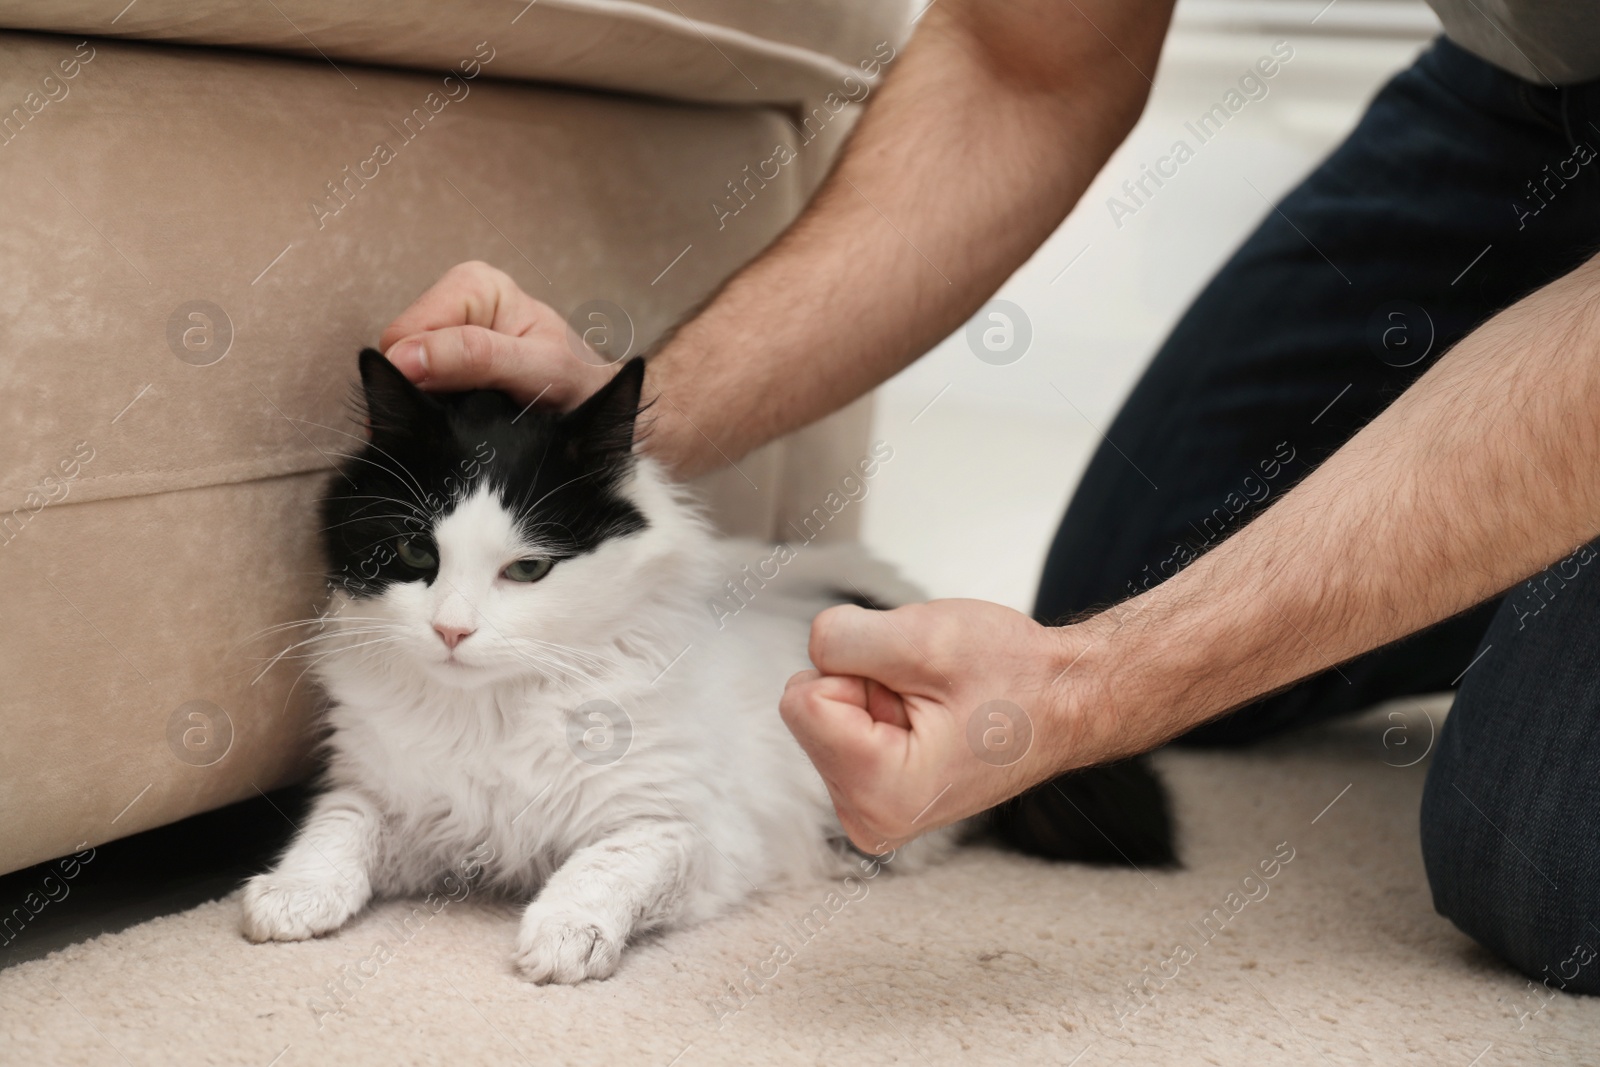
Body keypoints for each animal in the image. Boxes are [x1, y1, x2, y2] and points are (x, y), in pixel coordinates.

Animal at [240, 350, 1177, 985]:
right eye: (413, 554)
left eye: (528, 569)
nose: (451, 631)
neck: (492, 714)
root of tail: (879, 587)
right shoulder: (389, 798)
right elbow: (336, 830)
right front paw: (287, 897)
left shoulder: (680, 826)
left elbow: (601, 869)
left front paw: (562, 939)